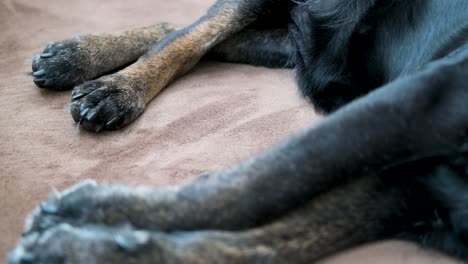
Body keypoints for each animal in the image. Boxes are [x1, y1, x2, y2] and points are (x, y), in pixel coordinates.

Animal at [8, 0, 468, 262]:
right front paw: (81, 212)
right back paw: (109, 81)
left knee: (198, 36)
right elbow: (262, 182)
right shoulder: (418, 99)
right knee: (190, 38)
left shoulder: (410, 191)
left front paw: (77, 247)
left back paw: (78, 59)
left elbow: (258, 245)